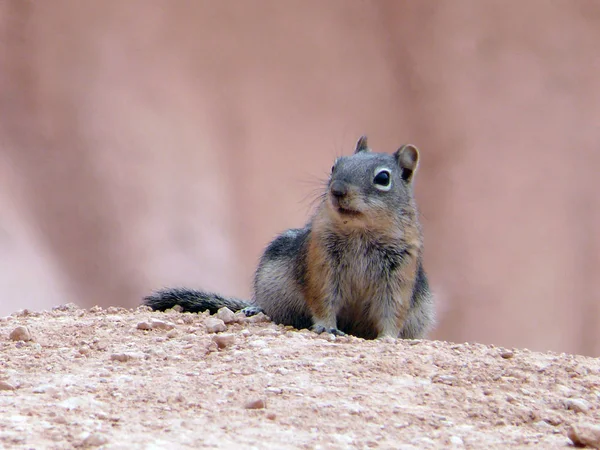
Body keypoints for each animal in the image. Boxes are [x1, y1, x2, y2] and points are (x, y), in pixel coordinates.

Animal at [145, 135, 436, 340]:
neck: (360, 231)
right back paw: (255, 309)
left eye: (383, 178)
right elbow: (323, 298)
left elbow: (393, 310)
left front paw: (388, 338)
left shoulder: (399, 273)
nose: (338, 189)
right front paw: (327, 327)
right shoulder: (321, 263)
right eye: (335, 166)